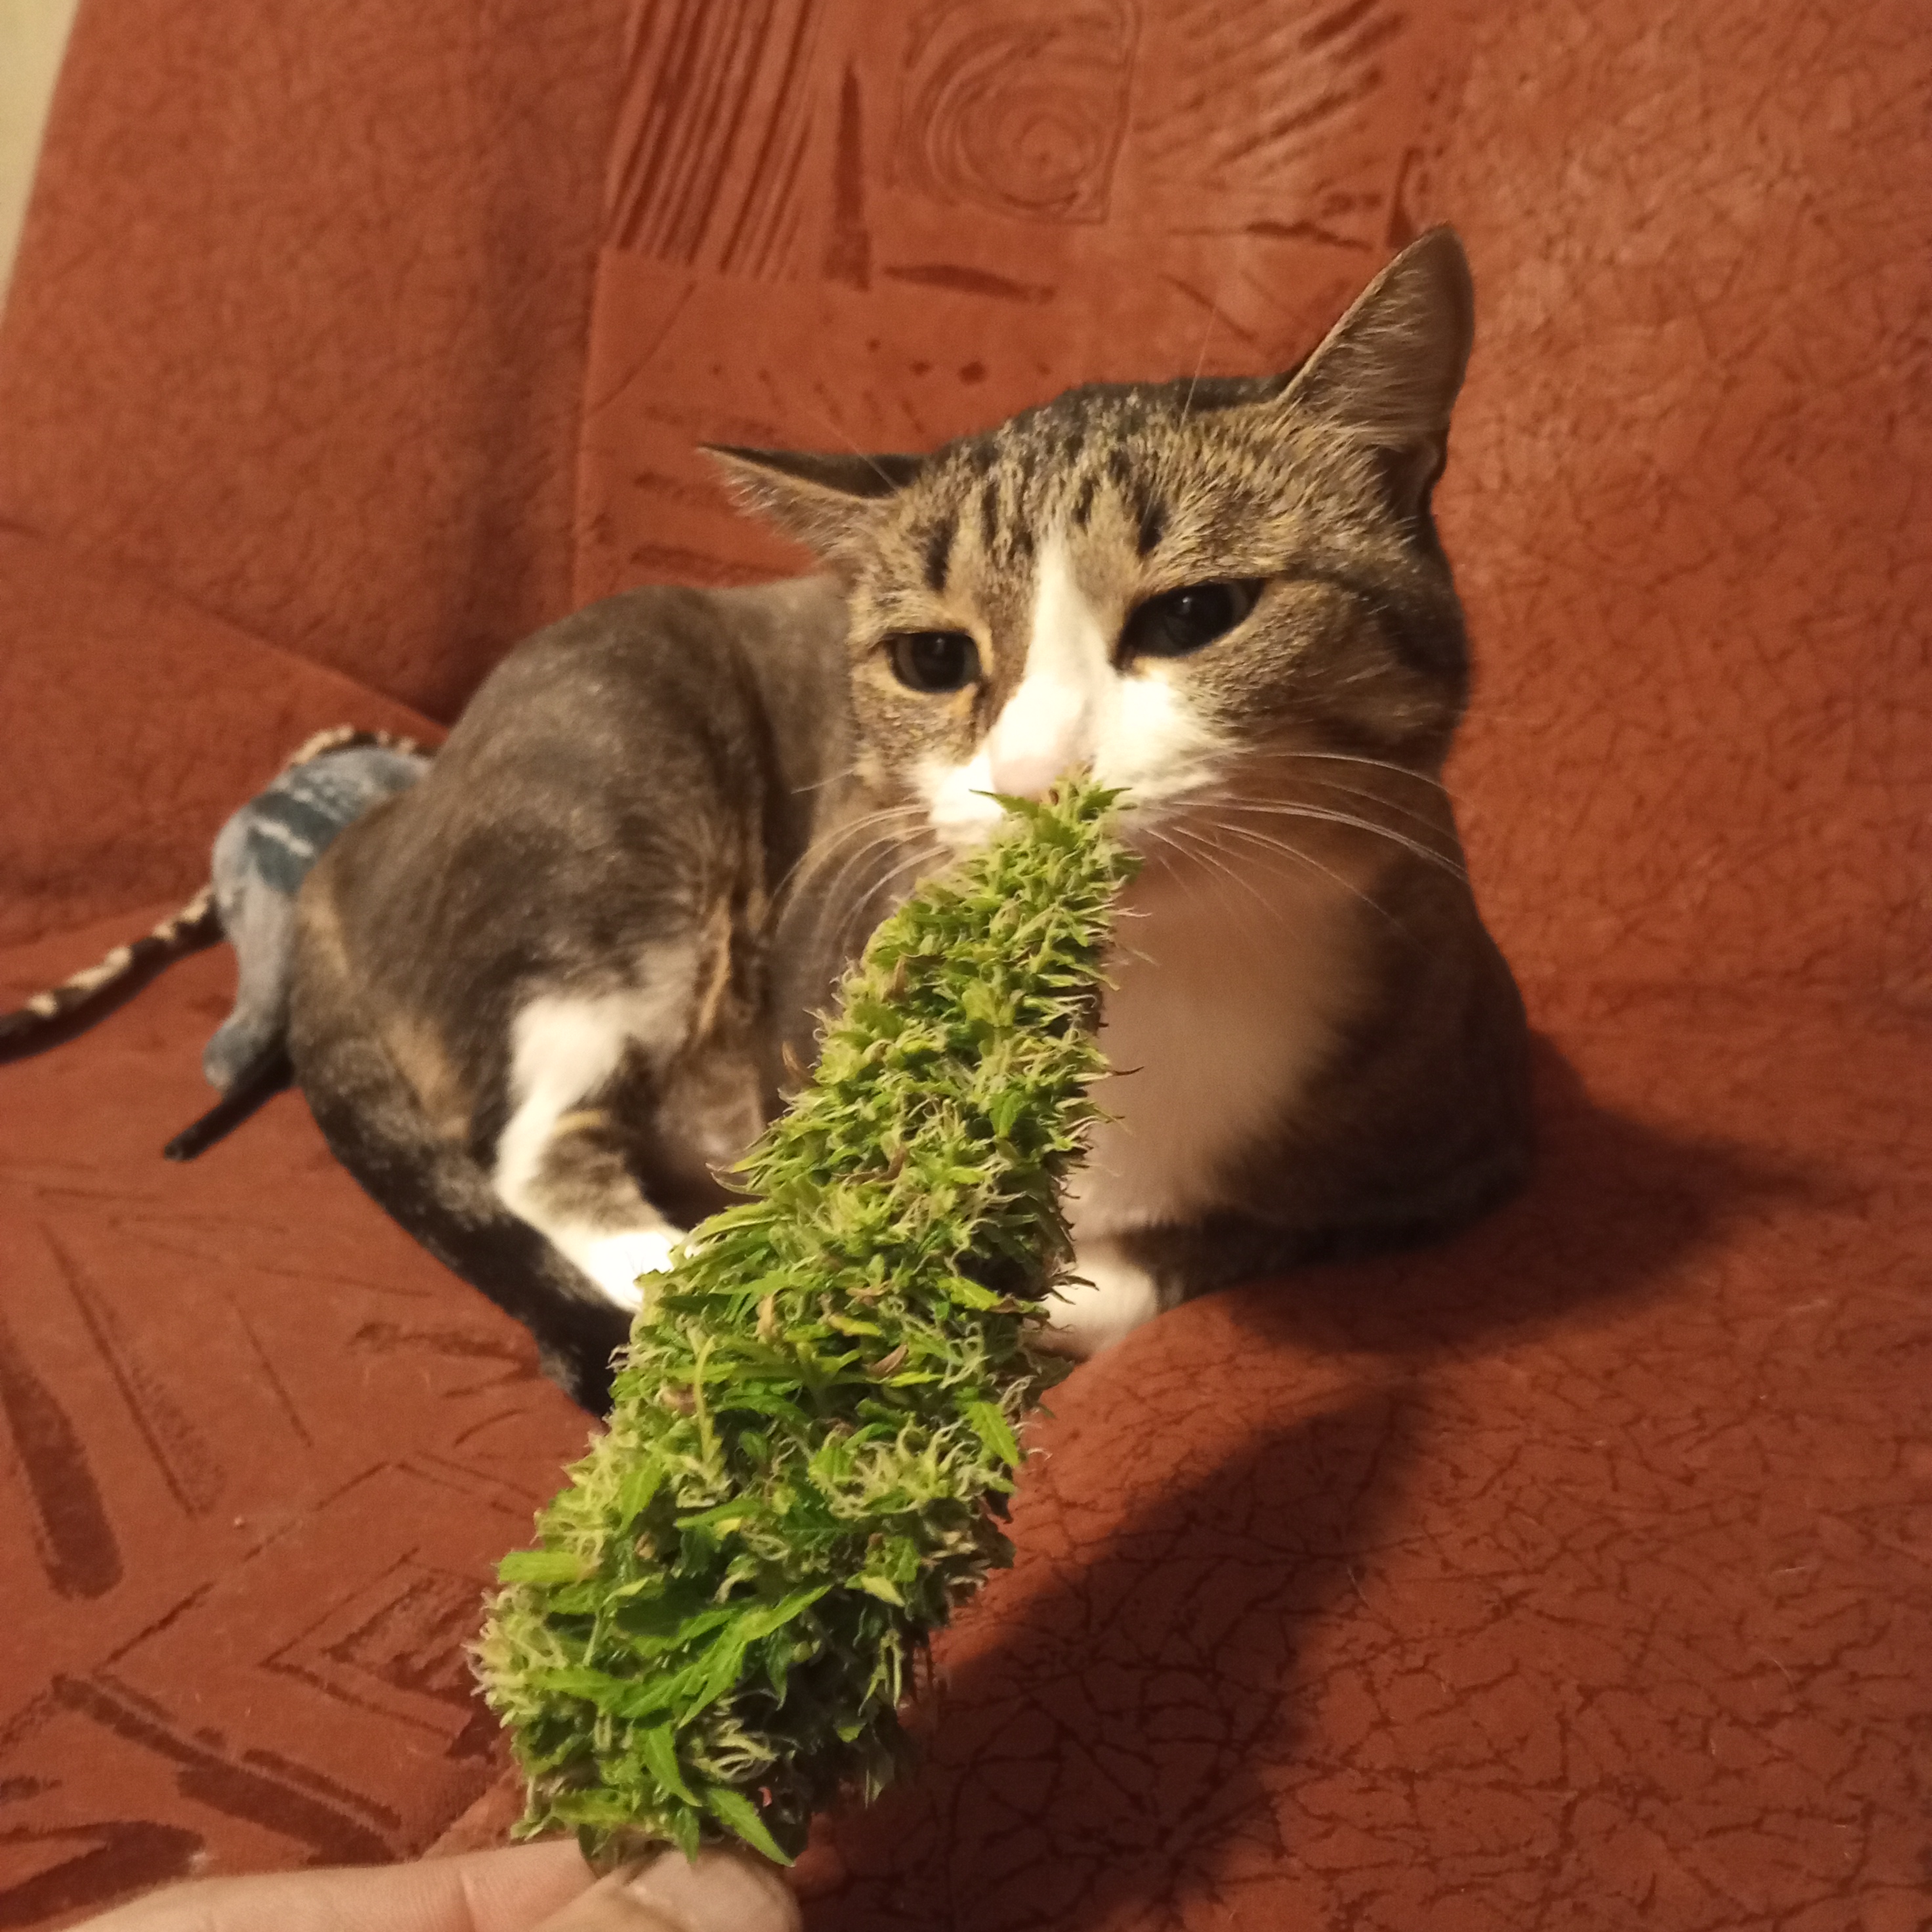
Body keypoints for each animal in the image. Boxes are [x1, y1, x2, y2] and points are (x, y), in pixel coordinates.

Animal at [288, 227, 1531, 1412]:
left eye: (1194, 614)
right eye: (933, 658)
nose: (1037, 773)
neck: (1158, 978)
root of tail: (377, 826)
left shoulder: (1453, 1160)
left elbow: (1158, 1271)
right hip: (612, 778)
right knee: (534, 1154)